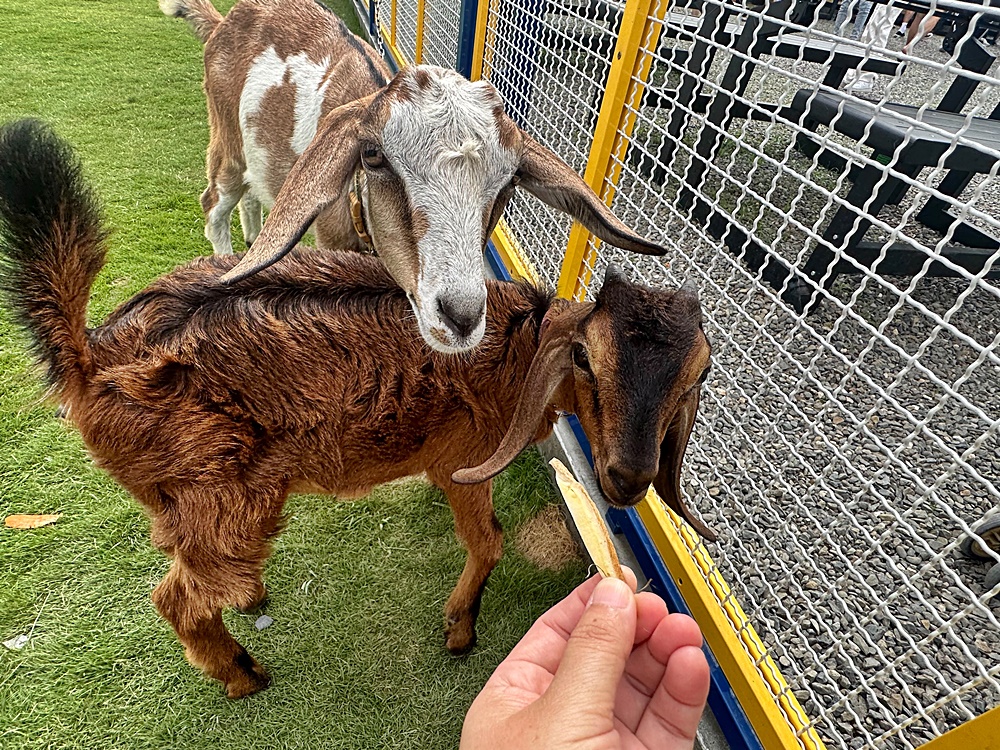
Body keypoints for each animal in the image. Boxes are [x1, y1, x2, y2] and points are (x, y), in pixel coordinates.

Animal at [1, 120, 720, 704]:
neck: (517, 352)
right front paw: (460, 630)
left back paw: (250, 599)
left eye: (698, 377)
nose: (628, 478)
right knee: (176, 597)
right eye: (585, 361)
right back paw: (244, 675)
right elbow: (488, 539)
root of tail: (90, 358)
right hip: (219, 490)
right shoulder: (470, 454)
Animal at [158, 0, 672, 354]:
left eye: (509, 182)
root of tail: (225, 22)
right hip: (226, 142)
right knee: (214, 203)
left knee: (252, 197)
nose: (462, 317)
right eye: (372, 156)